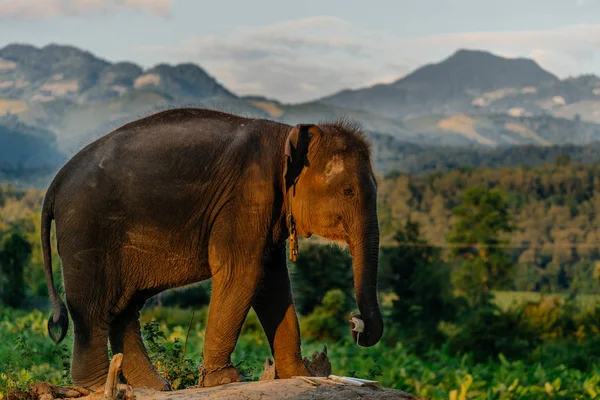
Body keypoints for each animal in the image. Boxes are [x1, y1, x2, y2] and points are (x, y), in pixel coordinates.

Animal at [43, 107, 384, 390]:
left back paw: (153, 387)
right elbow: (243, 274)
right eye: (349, 191)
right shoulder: (247, 197)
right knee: (92, 308)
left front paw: (299, 375)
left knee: (124, 307)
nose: (354, 322)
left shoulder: (266, 208)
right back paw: (98, 386)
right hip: (85, 230)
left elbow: (272, 282)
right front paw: (227, 380)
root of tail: (55, 184)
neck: (286, 136)